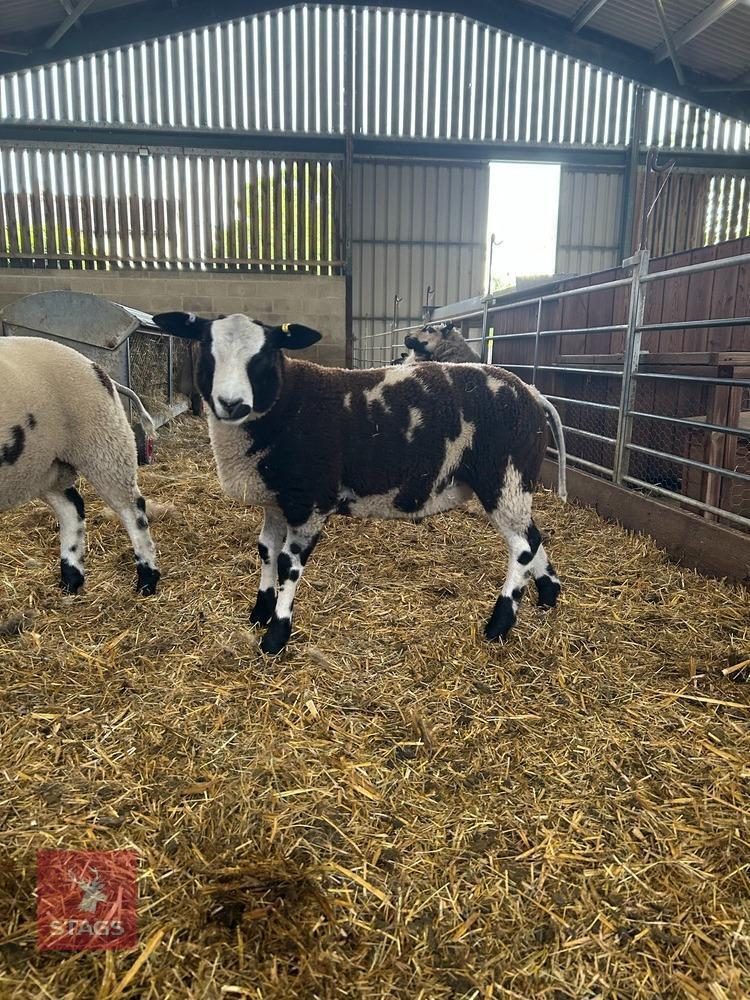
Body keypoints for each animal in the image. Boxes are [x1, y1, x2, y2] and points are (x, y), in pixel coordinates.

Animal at [0, 336, 160, 596]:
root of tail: (95, 367)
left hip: (103, 444)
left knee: (132, 510)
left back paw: (147, 580)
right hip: (44, 465)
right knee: (72, 507)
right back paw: (71, 578)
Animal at [153, 310, 565, 655]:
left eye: (264, 356)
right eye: (207, 351)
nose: (232, 403)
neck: (287, 404)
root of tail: (532, 393)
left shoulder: (309, 501)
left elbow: (288, 564)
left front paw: (276, 635)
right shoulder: (277, 500)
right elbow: (266, 551)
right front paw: (260, 612)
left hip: (504, 476)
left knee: (523, 546)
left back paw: (499, 624)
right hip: (513, 484)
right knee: (534, 536)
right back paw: (549, 594)